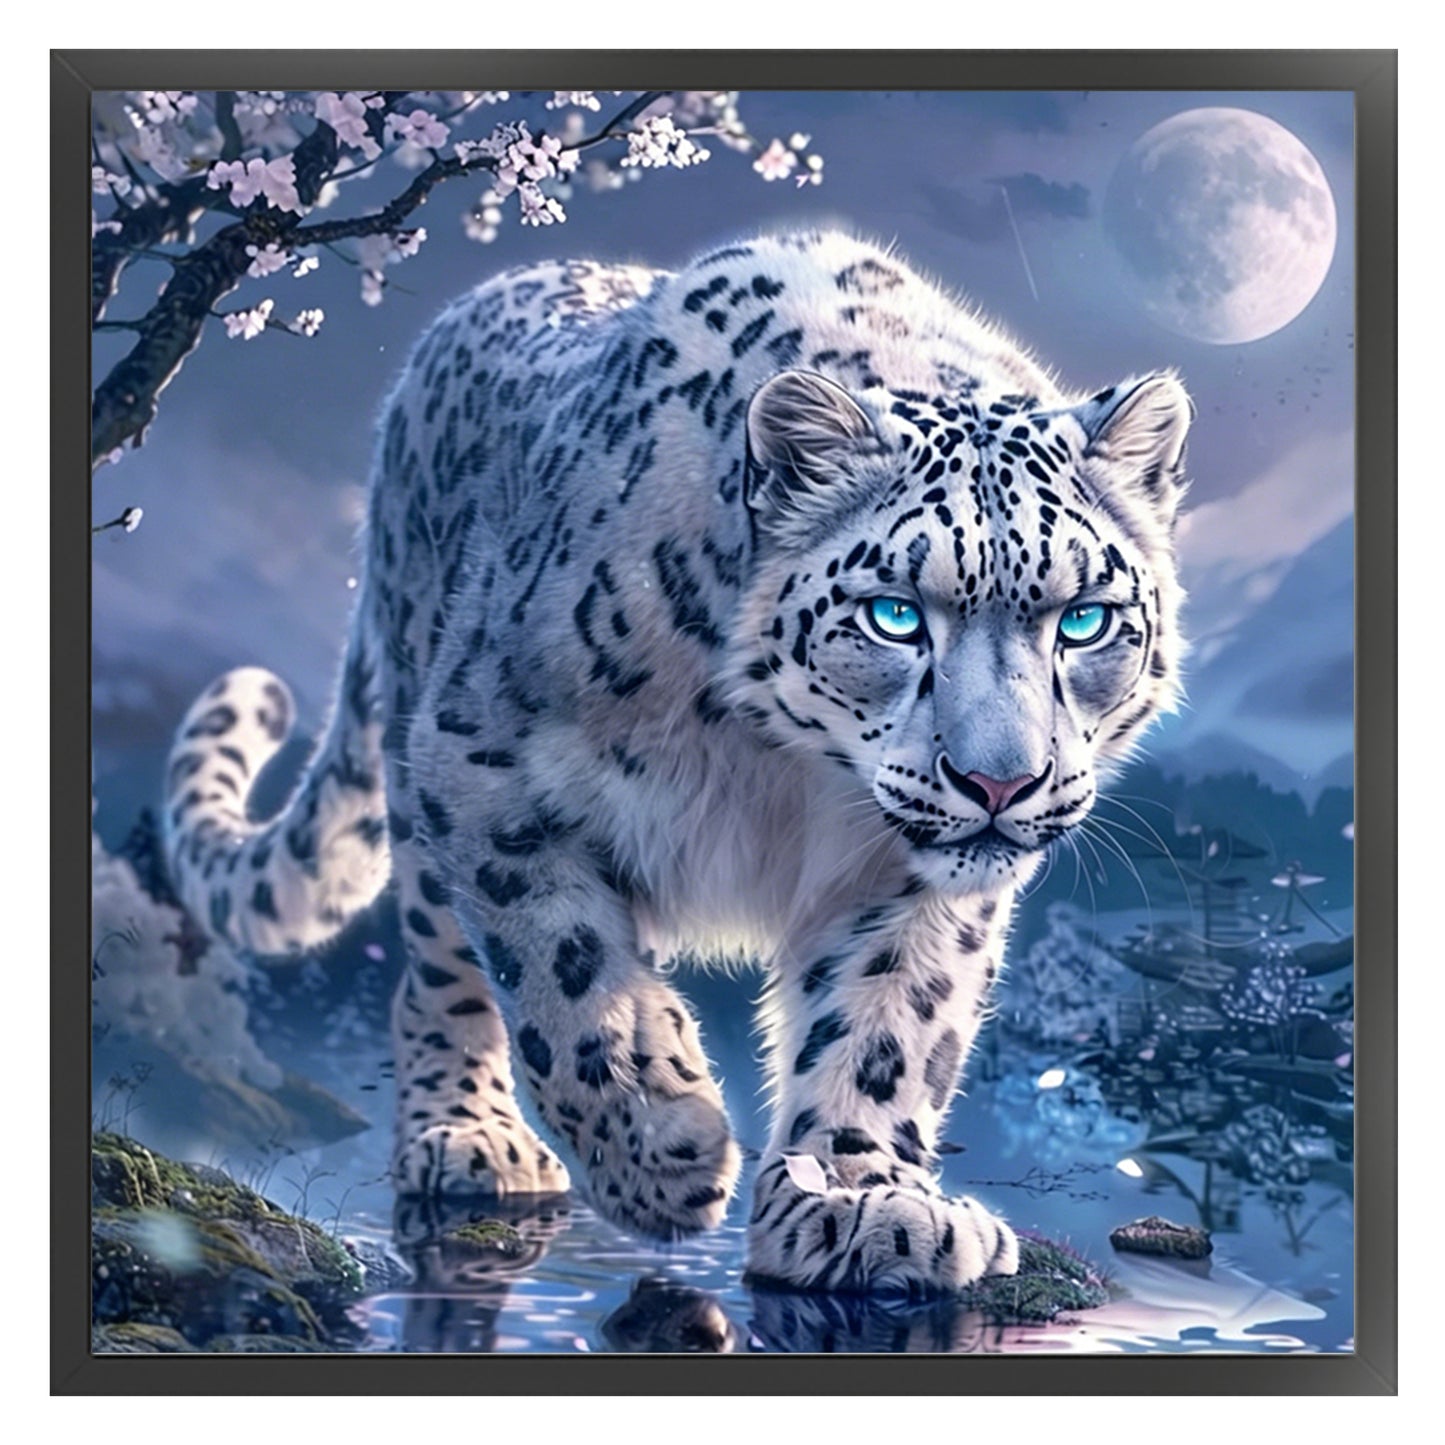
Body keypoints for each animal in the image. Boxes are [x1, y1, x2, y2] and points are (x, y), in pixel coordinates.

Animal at [162, 229, 1190, 1298]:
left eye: (1084, 619)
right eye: (895, 615)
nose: (998, 783)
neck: (782, 769)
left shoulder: (906, 879)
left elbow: (887, 1026)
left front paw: (860, 1201)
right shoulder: (483, 770)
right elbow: (563, 971)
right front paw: (662, 1148)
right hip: (416, 759)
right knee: (437, 965)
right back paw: (470, 1135)